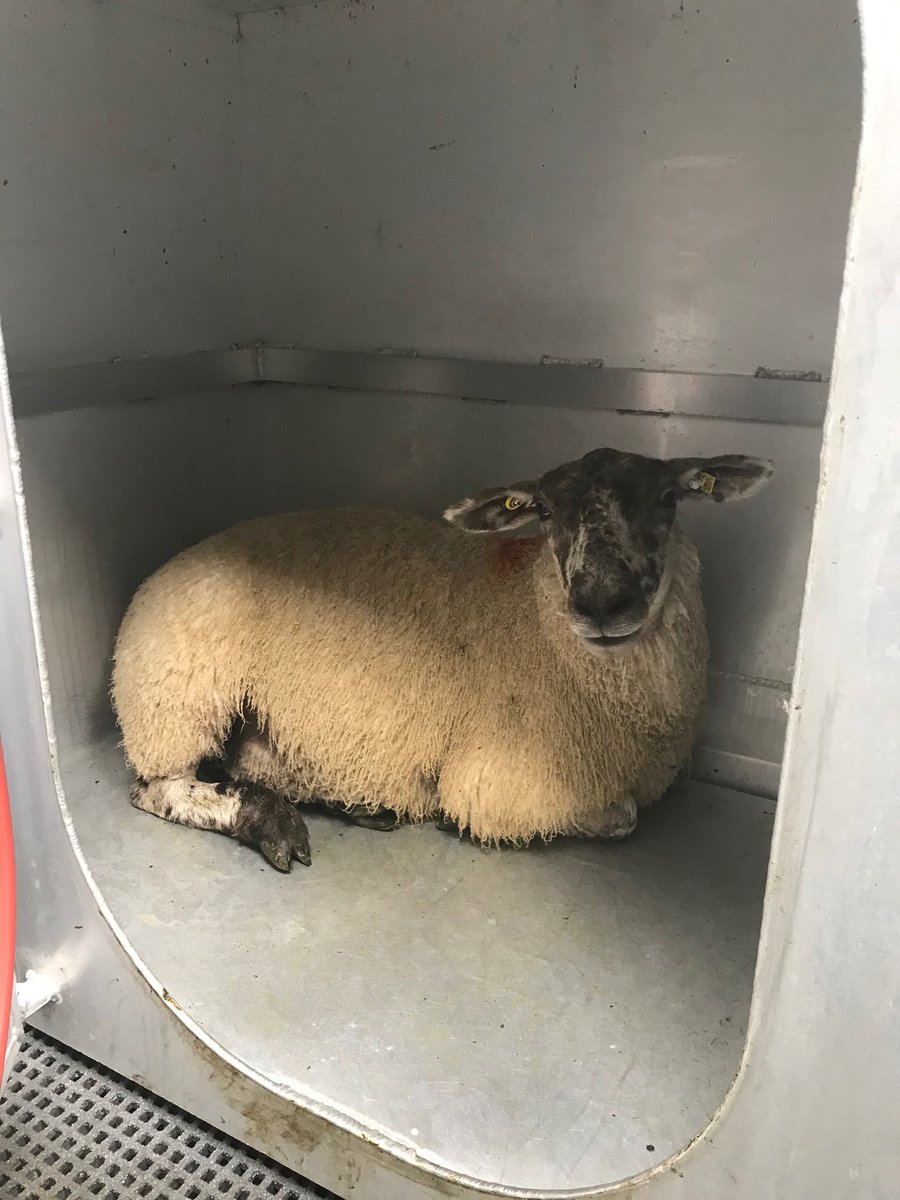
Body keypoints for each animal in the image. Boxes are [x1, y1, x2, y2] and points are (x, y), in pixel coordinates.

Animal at [111, 447, 772, 871]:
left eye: (669, 497)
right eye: (544, 511)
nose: (603, 603)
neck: (531, 613)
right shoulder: (500, 783)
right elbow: (622, 817)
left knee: (247, 764)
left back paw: (356, 804)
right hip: (179, 703)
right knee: (160, 790)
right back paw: (270, 822)